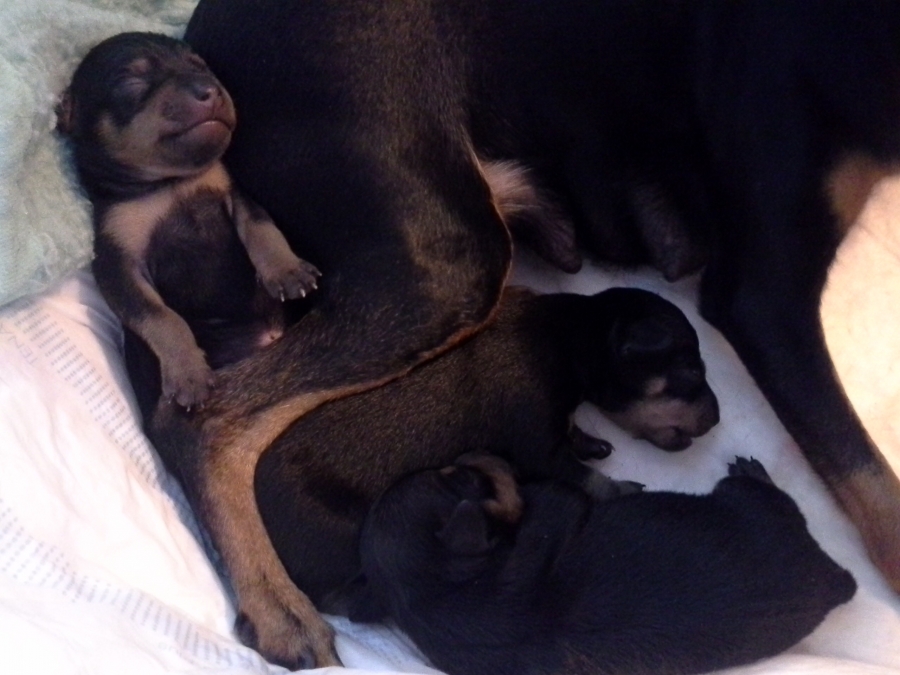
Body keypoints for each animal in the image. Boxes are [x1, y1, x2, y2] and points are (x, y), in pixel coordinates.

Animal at [56, 32, 321, 411]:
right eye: (130, 81)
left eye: (201, 67)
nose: (210, 89)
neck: (171, 184)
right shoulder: (118, 266)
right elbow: (161, 317)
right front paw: (187, 373)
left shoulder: (234, 195)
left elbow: (262, 229)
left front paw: (286, 270)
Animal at [251, 286, 718, 611]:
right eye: (692, 371)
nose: (716, 419)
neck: (565, 338)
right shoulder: (538, 449)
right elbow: (588, 479)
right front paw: (620, 487)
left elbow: (573, 432)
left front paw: (592, 442)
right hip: (339, 535)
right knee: (334, 597)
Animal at [352, 455, 857, 675]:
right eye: (456, 477)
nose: (463, 456)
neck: (429, 590)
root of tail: (835, 580)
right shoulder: (552, 508)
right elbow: (544, 497)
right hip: (751, 502)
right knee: (762, 491)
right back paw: (755, 472)